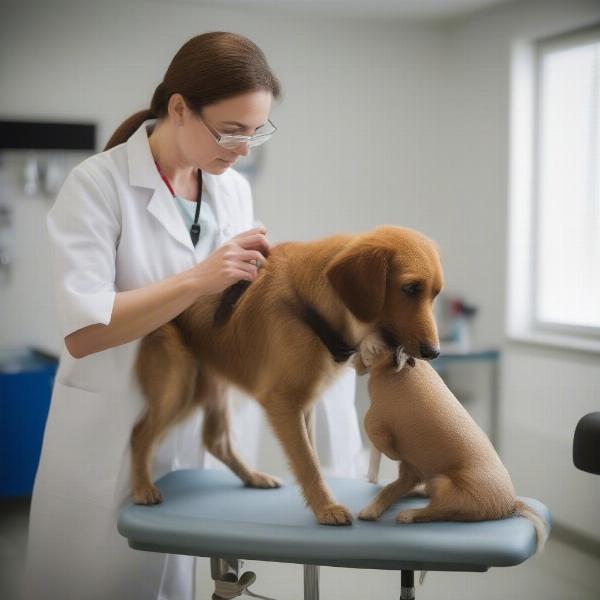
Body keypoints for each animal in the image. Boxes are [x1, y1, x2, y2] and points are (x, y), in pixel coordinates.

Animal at [356, 336, 548, 552]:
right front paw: (373, 507)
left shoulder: (376, 424)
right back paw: (414, 493)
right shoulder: (409, 465)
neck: (400, 370)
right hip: (425, 476)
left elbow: (377, 437)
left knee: (436, 511)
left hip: (444, 484)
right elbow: (390, 488)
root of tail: (512, 503)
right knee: (408, 489)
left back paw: (409, 514)